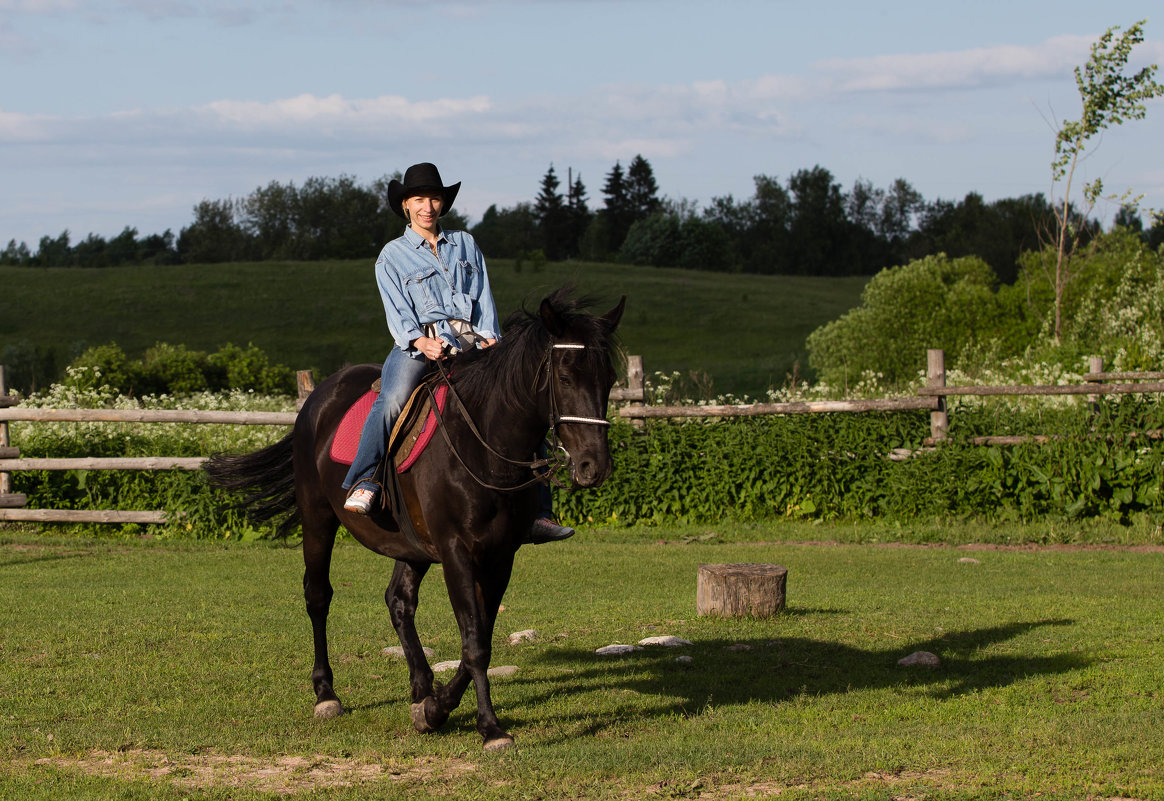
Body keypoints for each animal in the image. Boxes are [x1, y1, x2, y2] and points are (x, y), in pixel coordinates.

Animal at [209, 289, 628, 749]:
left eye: (608, 379)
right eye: (565, 377)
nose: (594, 467)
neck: (483, 445)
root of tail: (318, 398)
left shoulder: (501, 556)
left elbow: (479, 638)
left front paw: (434, 709)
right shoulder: (456, 552)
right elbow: (475, 644)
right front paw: (489, 728)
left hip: (411, 546)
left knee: (399, 602)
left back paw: (421, 687)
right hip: (317, 519)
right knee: (318, 597)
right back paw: (326, 694)